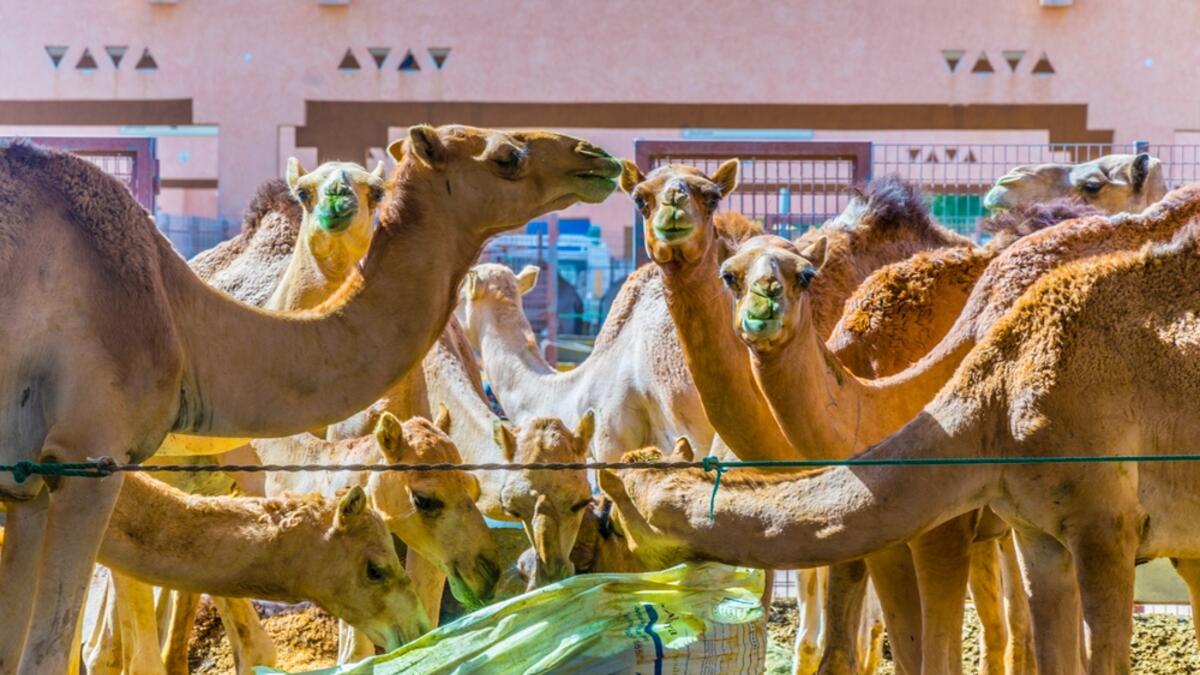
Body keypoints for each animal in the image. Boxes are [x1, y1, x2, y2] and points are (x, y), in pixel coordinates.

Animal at [0, 127, 620, 672]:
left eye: (583, 500)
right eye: (506, 155)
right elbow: (41, 655)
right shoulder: (86, 462)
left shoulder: (25, 485)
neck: (181, 322)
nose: (597, 157)